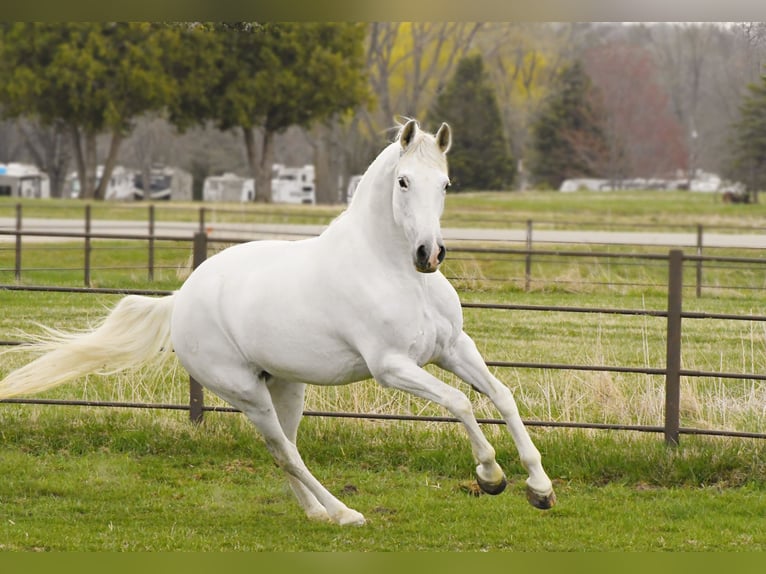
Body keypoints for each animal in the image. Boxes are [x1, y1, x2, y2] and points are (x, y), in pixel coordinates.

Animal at [0, 120, 556, 528]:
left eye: (445, 184)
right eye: (403, 182)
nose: (430, 253)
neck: (395, 273)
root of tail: (182, 299)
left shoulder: (454, 349)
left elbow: (502, 395)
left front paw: (540, 487)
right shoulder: (392, 367)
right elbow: (461, 403)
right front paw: (491, 476)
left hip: (287, 387)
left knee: (285, 450)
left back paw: (318, 513)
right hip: (247, 393)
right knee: (286, 452)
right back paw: (345, 513)